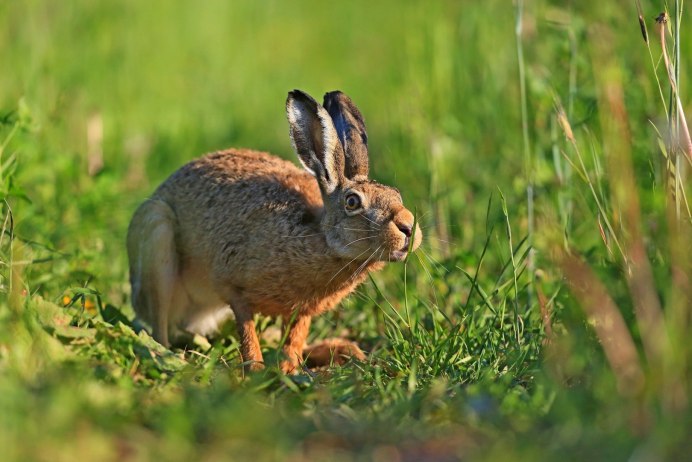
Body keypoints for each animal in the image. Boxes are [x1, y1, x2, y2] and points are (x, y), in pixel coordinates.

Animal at [127, 89, 422, 373]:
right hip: (157, 238)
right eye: (352, 202)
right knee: (159, 326)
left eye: (396, 194)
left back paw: (338, 350)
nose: (409, 228)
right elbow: (247, 332)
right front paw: (256, 369)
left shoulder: (301, 310)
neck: (320, 237)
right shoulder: (234, 287)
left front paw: (289, 368)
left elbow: (294, 339)